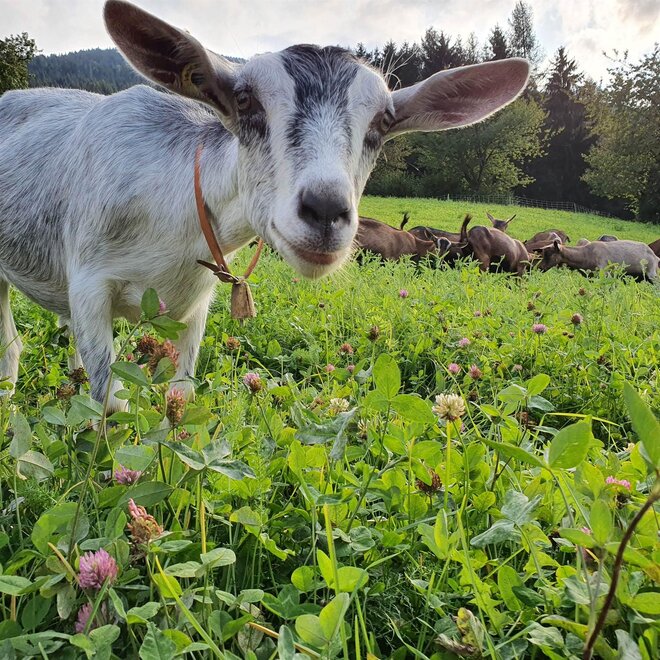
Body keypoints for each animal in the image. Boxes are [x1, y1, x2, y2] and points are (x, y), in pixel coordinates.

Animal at [0, 0, 529, 410]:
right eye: (245, 100)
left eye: (383, 121)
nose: (325, 211)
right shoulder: (90, 286)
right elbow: (110, 403)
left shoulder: (195, 308)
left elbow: (179, 397)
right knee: (11, 350)